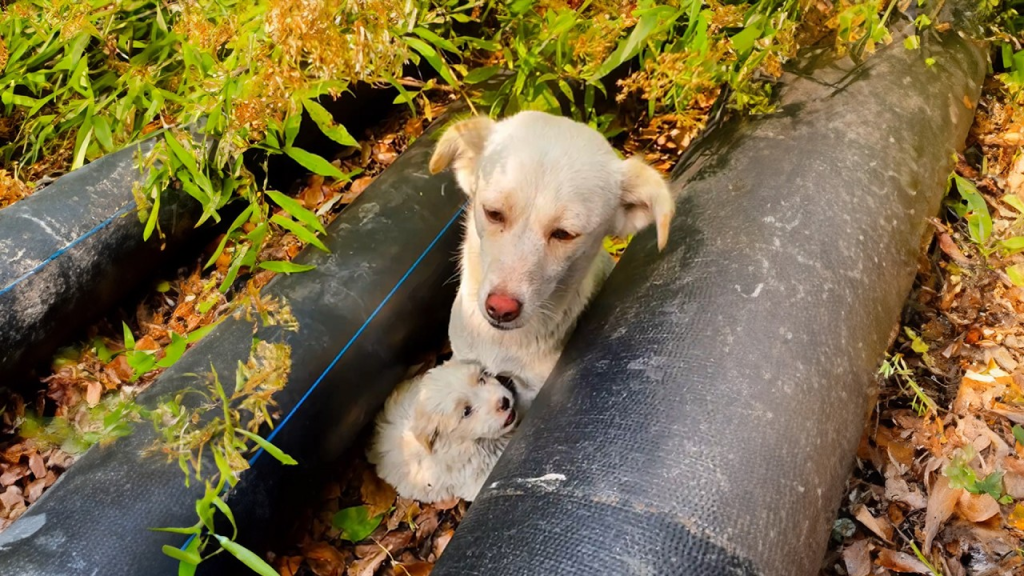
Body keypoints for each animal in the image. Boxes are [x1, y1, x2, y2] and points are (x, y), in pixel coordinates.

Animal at [428, 109, 675, 409]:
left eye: (564, 234)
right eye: (493, 213)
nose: (500, 309)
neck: (501, 341)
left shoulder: (530, 392)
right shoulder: (463, 360)